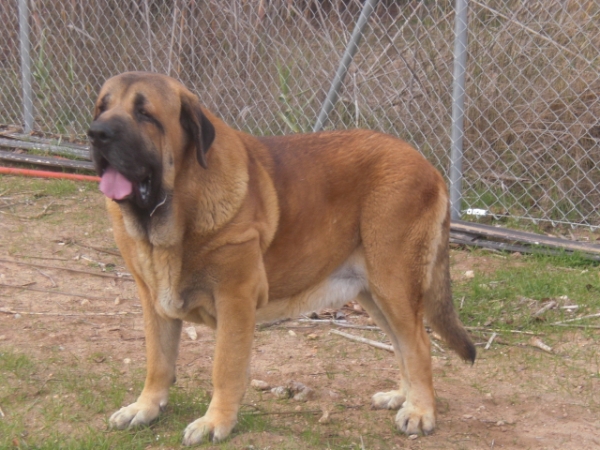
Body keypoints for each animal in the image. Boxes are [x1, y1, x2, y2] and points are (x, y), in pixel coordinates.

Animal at [88, 72, 474, 444]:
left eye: (144, 113)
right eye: (101, 108)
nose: (96, 133)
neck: (178, 207)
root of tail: (427, 165)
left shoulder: (235, 299)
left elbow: (225, 368)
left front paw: (216, 422)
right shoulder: (154, 302)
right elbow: (158, 362)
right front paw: (145, 408)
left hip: (394, 283)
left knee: (418, 345)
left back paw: (420, 412)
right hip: (375, 293)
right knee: (401, 345)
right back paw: (402, 398)